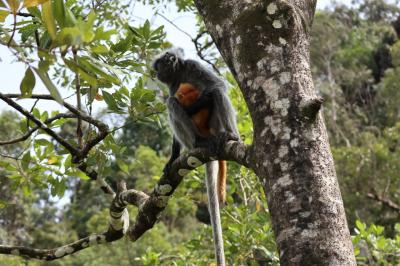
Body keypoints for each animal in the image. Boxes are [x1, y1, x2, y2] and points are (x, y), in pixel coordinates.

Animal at [153, 48, 239, 266]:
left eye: (158, 66)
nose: (156, 74)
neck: (180, 73)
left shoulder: (193, 66)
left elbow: (217, 85)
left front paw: (195, 103)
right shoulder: (173, 85)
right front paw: (172, 157)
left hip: (215, 125)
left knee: (217, 92)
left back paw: (231, 134)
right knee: (172, 103)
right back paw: (198, 142)